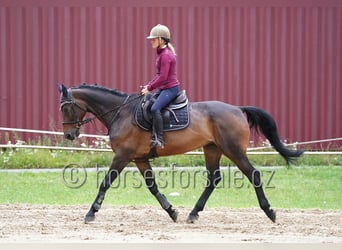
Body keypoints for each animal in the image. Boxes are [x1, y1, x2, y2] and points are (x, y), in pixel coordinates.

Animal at [57, 83, 304, 224]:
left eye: (65, 107)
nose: (69, 135)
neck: (121, 112)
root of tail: (237, 109)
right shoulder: (139, 158)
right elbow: (152, 187)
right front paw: (171, 211)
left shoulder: (123, 156)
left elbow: (105, 182)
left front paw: (91, 212)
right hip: (212, 149)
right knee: (213, 178)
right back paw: (193, 213)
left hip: (233, 150)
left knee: (253, 175)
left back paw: (269, 212)